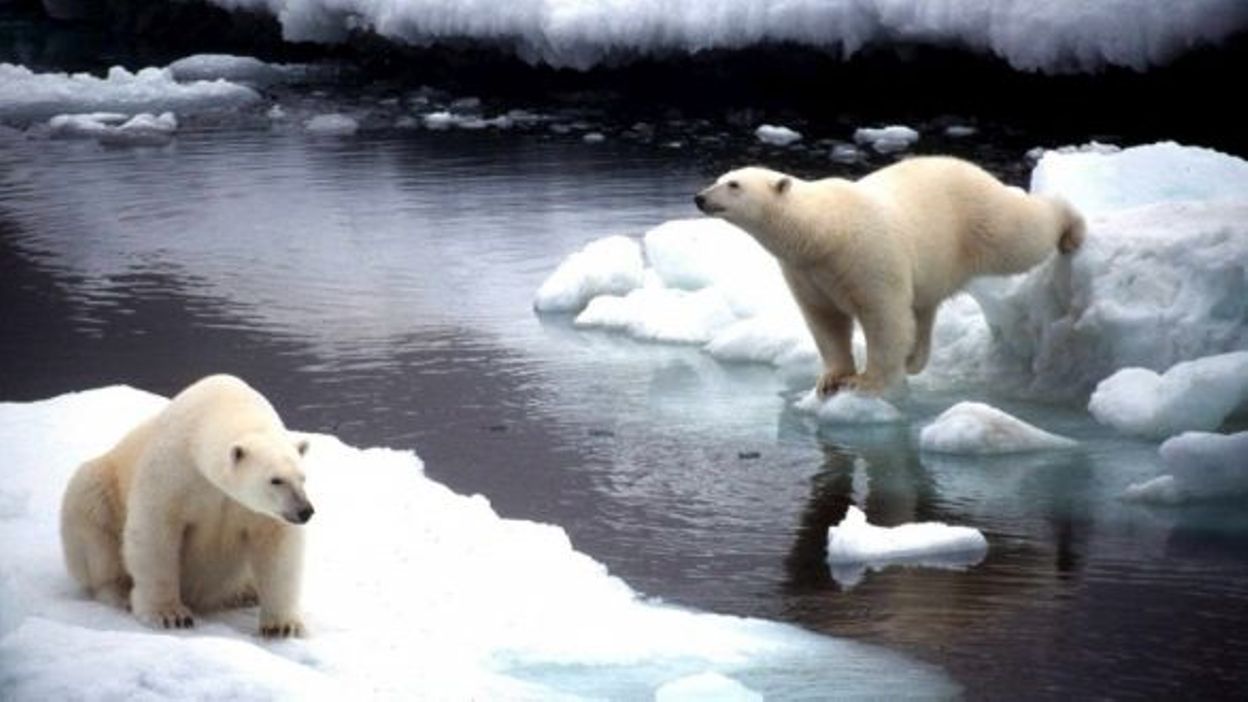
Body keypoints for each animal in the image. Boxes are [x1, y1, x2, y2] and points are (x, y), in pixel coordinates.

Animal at [62, 374, 316, 637]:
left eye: (303, 478)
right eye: (275, 480)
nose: (305, 511)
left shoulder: (257, 510)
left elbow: (278, 546)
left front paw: (282, 625)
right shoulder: (174, 471)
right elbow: (155, 531)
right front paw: (169, 615)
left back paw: (247, 592)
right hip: (100, 488)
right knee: (93, 525)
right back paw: (120, 592)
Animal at [693, 158, 1083, 397]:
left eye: (734, 184)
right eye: (719, 179)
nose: (699, 197)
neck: (824, 231)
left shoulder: (867, 256)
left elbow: (884, 316)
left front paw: (866, 382)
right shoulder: (806, 270)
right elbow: (825, 320)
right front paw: (830, 379)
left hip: (977, 219)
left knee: (1020, 234)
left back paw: (1071, 227)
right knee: (924, 307)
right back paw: (914, 359)